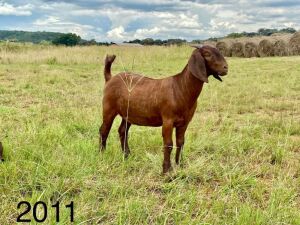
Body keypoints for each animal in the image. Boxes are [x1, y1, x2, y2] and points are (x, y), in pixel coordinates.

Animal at [98, 44, 227, 173]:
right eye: (207, 54)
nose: (226, 68)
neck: (180, 87)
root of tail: (110, 78)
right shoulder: (168, 120)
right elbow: (168, 144)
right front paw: (166, 170)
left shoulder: (184, 122)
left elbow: (180, 142)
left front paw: (179, 164)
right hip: (108, 108)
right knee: (104, 130)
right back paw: (102, 154)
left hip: (128, 113)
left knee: (122, 131)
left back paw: (127, 155)